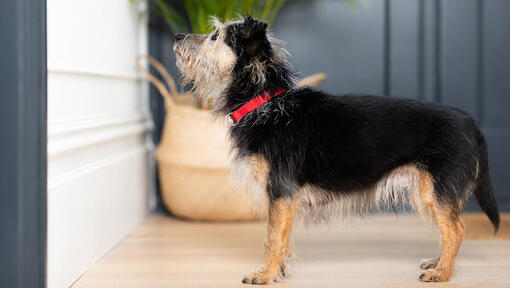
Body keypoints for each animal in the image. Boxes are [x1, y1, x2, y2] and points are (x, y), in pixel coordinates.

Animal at [173, 16, 500, 284]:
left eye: (215, 35)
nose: (176, 36)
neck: (265, 102)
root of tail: (470, 122)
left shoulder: (280, 189)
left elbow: (271, 237)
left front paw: (264, 274)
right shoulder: (284, 198)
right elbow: (282, 236)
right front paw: (279, 270)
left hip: (436, 190)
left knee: (457, 231)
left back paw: (442, 273)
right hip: (429, 193)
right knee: (450, 230)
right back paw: (438, 263)